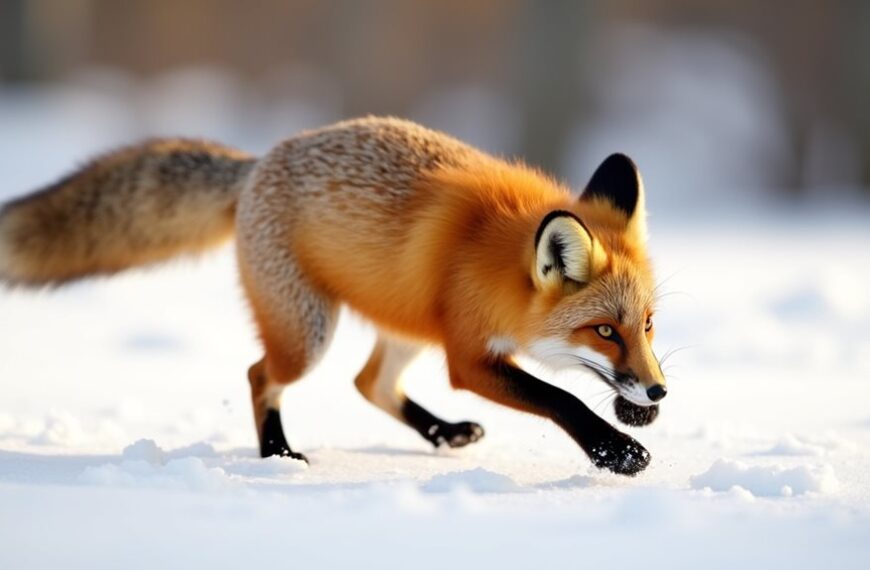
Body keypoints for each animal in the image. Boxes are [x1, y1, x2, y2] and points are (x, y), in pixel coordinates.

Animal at [0, 116, 666, 476]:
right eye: (603, 330)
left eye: (648, 325)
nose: (659, 390)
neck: (497, 261)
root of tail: (257, 163)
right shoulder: (468, 356)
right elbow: (562, 397)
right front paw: (616, 451)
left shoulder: (459, 342)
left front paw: (634, 415)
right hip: (309, 334)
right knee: (261, 375)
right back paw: (278, 454)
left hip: (405, 321)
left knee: (368, 383)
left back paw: (444, 433)